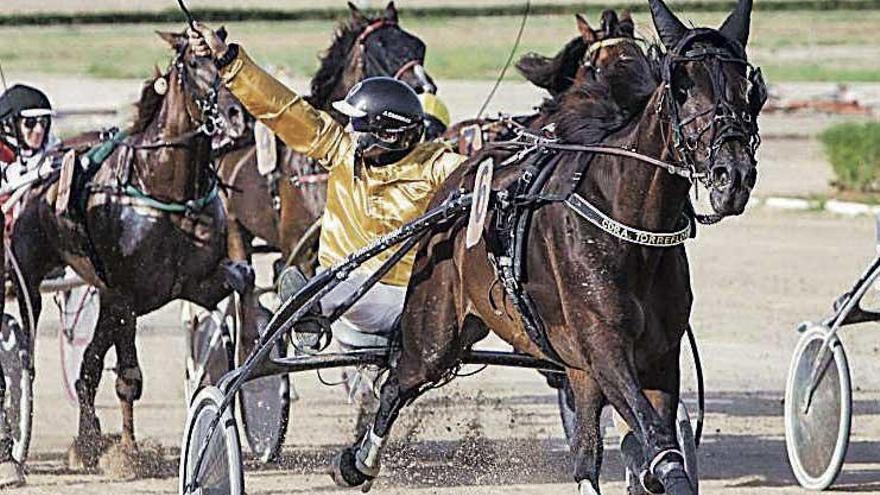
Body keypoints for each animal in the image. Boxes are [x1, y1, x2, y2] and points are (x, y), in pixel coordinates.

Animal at [330, 0, 764, 495]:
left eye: (749, 88)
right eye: (682, 85)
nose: (733, 175)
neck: (630, 224)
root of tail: (459, 179)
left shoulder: (655, 356)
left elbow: (644, 442)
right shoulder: (604, 346)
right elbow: (658, 442)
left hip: (569, 365)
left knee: (585, 452)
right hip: (437, 326)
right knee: (399, 381)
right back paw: (357, 463)